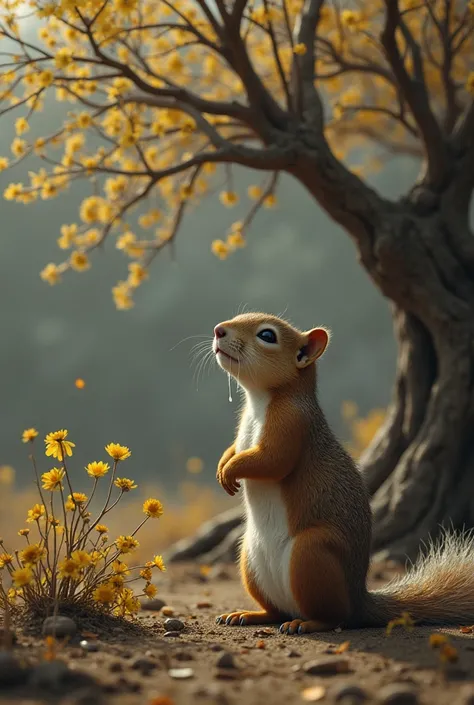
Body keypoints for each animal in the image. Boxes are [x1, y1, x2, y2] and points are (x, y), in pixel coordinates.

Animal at [213, 312, 474, 632]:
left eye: (267, 336)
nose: (218, 330)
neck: (259, 400)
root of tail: (359, 600)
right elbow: (234, 450)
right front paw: (223, 465)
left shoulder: (292, 423)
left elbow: (272, 461)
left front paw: (231, 470)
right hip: (250, 562)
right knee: (276, 611)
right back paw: (248, 615)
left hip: (312, 553)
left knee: (334, 616)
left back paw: (308, 623)